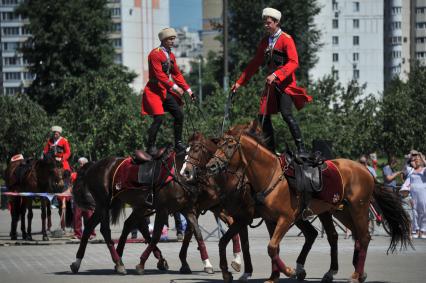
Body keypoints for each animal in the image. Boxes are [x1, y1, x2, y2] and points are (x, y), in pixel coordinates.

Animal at [70, 150, 216, 276]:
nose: (214, 167)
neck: (178, 175)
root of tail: (93, 165)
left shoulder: (187, 210)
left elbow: (197, 233)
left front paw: (207, 263)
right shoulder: (163, 210)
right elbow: (156, 235)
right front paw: (141, 264)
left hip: (113, 206)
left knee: (92, 227)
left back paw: (78, 262)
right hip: (104, 204)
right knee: (106, 230)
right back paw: (118, 262)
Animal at [206, 131, 412, 283]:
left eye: (230, 146)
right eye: (218, 145)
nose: (211, 166)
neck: (271, 176)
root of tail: (366, 171)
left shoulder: (283, 218)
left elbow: (271, 246)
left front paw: (288, 271)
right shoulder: (269, 220)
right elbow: (270, 247)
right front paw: (274, 276)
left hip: (358, 209)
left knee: (364, 237)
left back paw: (355, 275)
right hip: (341, 212)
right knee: (346, 236)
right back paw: (344, 272)